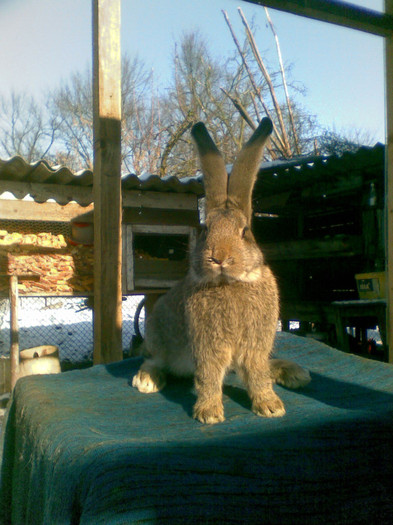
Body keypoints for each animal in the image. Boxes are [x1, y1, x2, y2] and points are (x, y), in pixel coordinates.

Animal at [132, 117, 310, 422]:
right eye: (205, 229)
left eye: (245, 231)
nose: (220, 257)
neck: (231, 282)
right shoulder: (208, 347)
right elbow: (209, 377)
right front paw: (209, 412)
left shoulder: (254, 347)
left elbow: (257, 374)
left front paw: (270, 406)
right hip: (157, 332)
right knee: (155, 360)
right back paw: (146, 380)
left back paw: (295, 373)